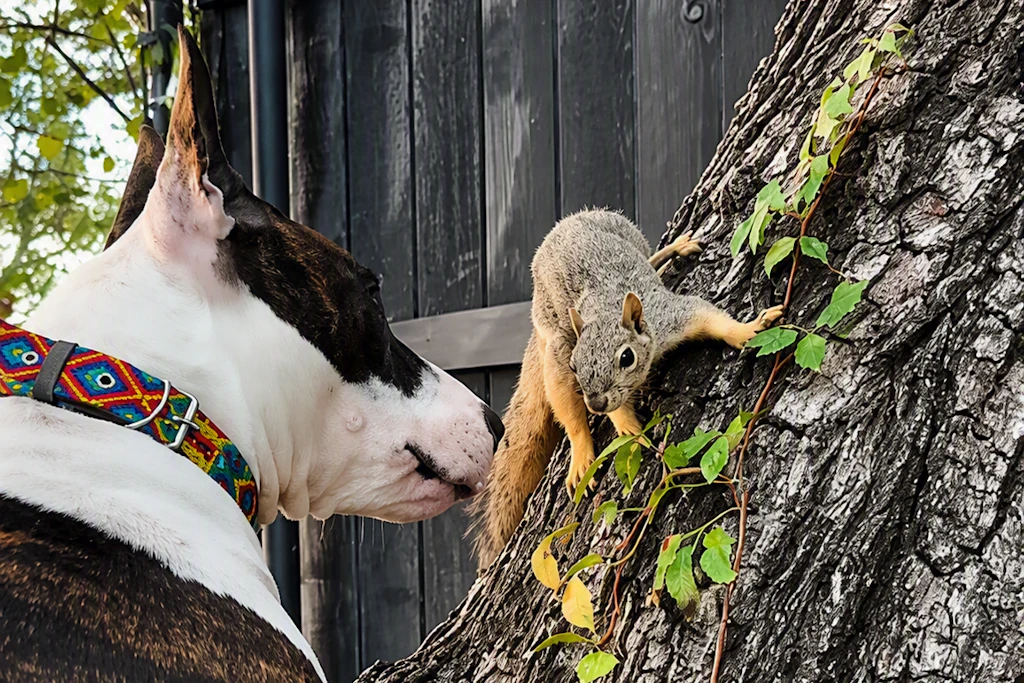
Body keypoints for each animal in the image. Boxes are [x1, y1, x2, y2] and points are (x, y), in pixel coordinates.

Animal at [468, 209, 784, 570]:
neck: (605, 310)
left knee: (651, 258)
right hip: (552, 327)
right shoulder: (567, 358)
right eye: (576, 366)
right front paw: (625, 428)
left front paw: (750, 329)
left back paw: (675, 247)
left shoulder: (670, 315)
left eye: (626, 357)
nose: (595, 403)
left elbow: (709, 316)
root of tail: (563, 226)